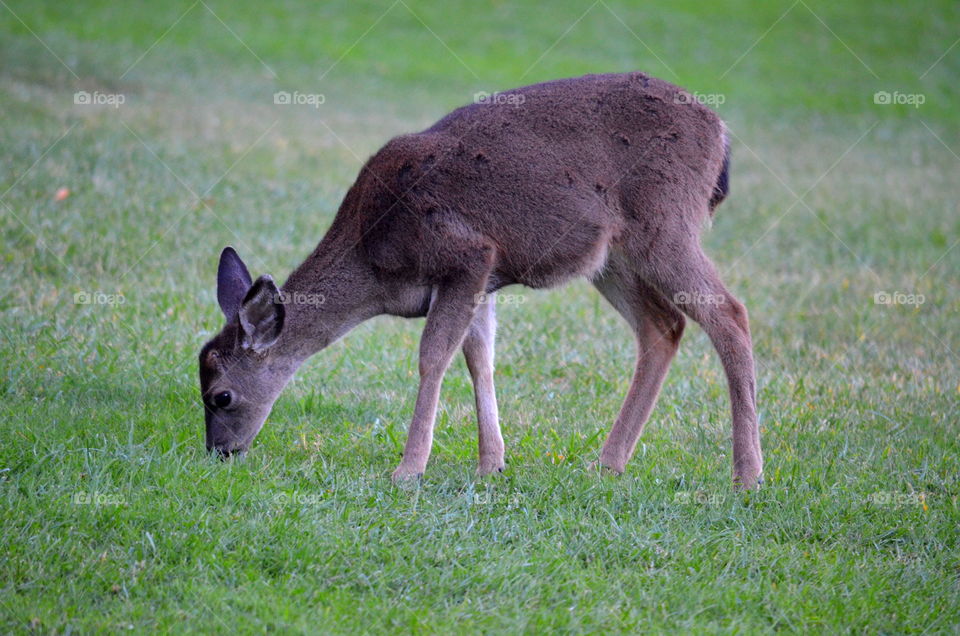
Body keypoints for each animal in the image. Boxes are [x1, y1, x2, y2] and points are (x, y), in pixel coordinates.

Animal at [197, 74, 764, 490]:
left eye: (221, 395)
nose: (219, 452)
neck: (374, 260)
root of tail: (721, 131)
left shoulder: (467, 253)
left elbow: (433, 357)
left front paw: (408, 469)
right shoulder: (483, 279)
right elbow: (479, 358)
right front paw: (492, 463)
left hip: (665, 220)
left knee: (730, 313)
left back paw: (747, 475)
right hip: (611, 253)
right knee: (663, 325)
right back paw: (607, 462)